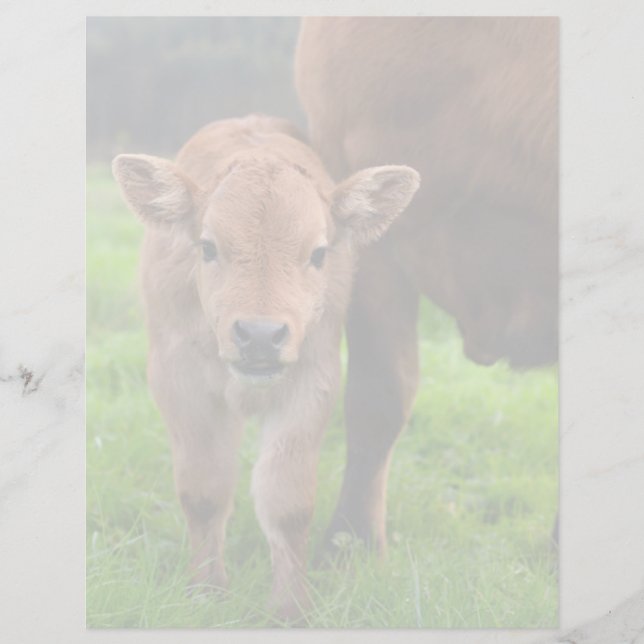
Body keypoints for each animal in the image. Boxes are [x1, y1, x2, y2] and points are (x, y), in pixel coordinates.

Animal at [111, 114, 419, 620]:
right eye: (208, 247)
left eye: (318, 254)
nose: (259, 334)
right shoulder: (178, 381)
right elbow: (204, 492)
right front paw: (207, 593)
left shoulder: (312, 381)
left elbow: (287, 502)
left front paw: (291, 609)